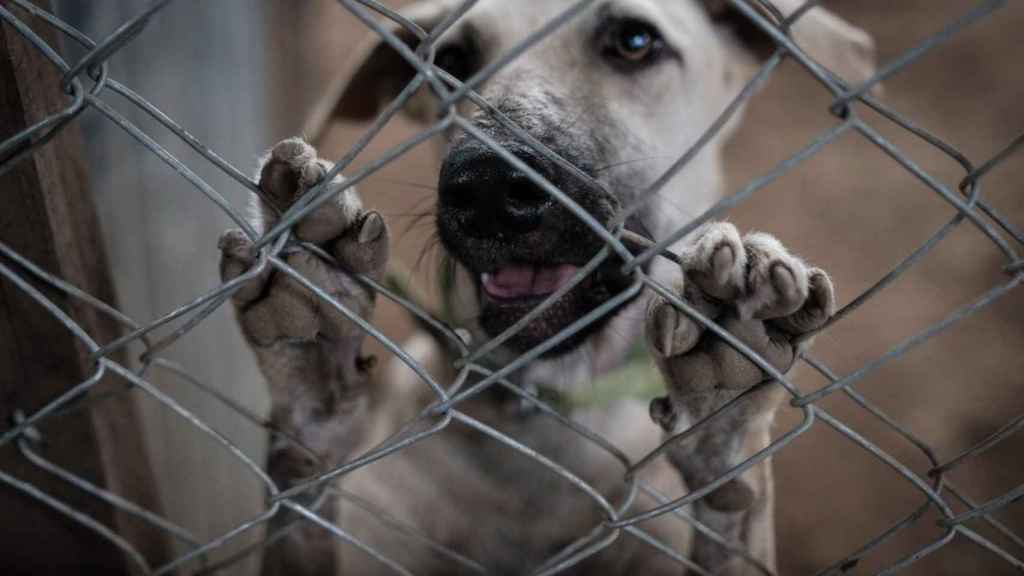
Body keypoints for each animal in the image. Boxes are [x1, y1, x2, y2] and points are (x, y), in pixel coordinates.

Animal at [220, 2, 876, 569]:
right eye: (452, 58)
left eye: (634, 41)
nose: (487, 185)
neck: (546, 411)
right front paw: (311, 363)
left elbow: (735, 523)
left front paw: (726, 419)